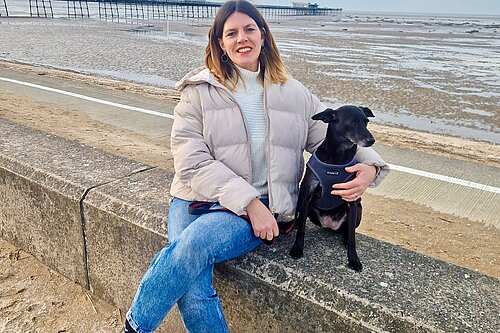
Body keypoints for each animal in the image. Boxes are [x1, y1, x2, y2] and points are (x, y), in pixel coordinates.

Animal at [290, 105, 376, 272]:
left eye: (366, 122)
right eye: (353, 123)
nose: (371, 140)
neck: (337, 158)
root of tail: (330, 224)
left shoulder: (352, 200)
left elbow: (353, 237)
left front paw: (354, 259)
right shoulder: (307, 194)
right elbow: (302, 229)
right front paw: (297, 248)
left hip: (358, 210)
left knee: (348, 230)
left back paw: (345, 239)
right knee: (301, 218)